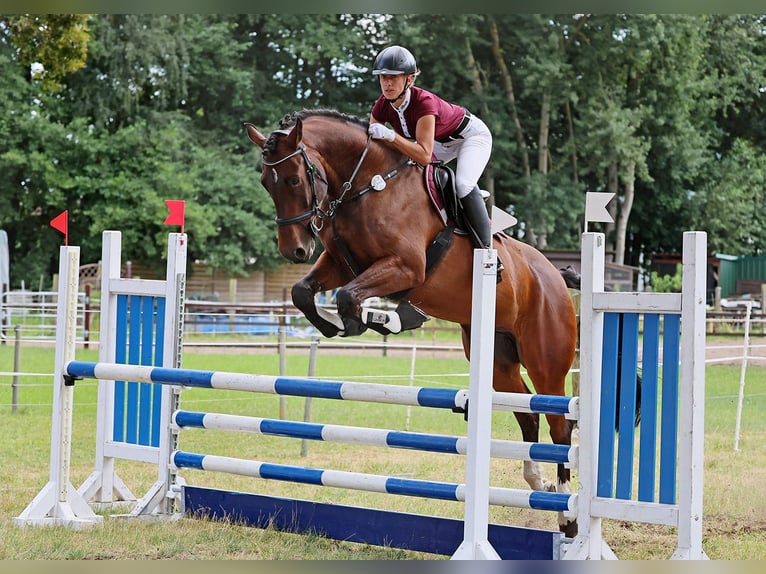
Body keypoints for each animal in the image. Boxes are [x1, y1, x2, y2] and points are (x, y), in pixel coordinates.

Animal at [244, 109, 579, 537]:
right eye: (264, 183)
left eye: (292, 179)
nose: (295, 251)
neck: (366, 186)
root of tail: (554, 275)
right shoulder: (341, 264)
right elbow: (305, 292)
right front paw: (338, 326)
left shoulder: (406, 267)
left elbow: (349, 297)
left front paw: (383, 319)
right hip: (496, 359)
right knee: (528, 414)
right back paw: (539, 483)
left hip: (545, 359)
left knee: (558, 425)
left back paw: (567, 515)